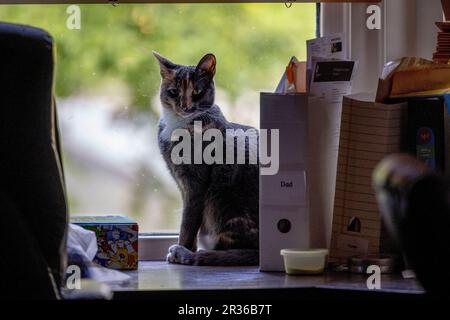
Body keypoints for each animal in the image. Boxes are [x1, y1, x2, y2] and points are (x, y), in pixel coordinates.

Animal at [154, 52, 258, 264]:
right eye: (174, 91)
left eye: (197, 91)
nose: (185, 106)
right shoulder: (182, 185)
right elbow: (190, 221)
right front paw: (188, 247)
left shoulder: (196, 185)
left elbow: (187, 223)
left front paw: (182, 250)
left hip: (223, 204)